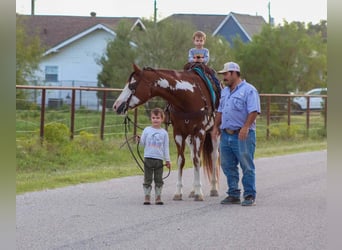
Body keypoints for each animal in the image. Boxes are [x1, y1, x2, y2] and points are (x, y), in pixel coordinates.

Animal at [112, 64, 219, 201]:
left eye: (132, 86)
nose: (116, 106)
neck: (188, 96)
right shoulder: (179, 133)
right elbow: (181, 160)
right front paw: (179, 192)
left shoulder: (199, 132)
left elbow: (197, 160)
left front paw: (199, 193)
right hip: (190, 137)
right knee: (193, 156)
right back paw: (192, 190)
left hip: (214, 133)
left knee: (214, 156)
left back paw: (213, 188)